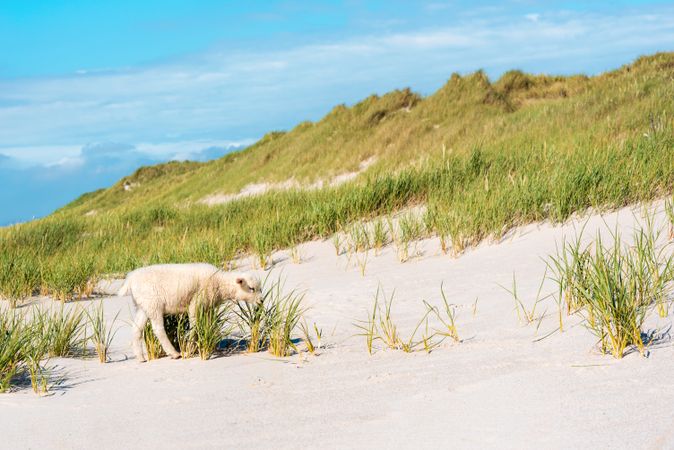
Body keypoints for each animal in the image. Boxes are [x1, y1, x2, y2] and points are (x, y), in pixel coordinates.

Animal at [118, 264, 260, 362]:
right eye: (251, 288)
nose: (261, 301)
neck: (220, 283)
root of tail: (130, 279)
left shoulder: (207, 307)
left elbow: (208, 325)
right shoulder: (196, 303)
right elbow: (195, 326)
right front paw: (191, 347)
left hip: (143, 306)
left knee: (136, 329)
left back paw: (141, 358)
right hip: (154, 304)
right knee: (158, 329)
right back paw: (174, 353)